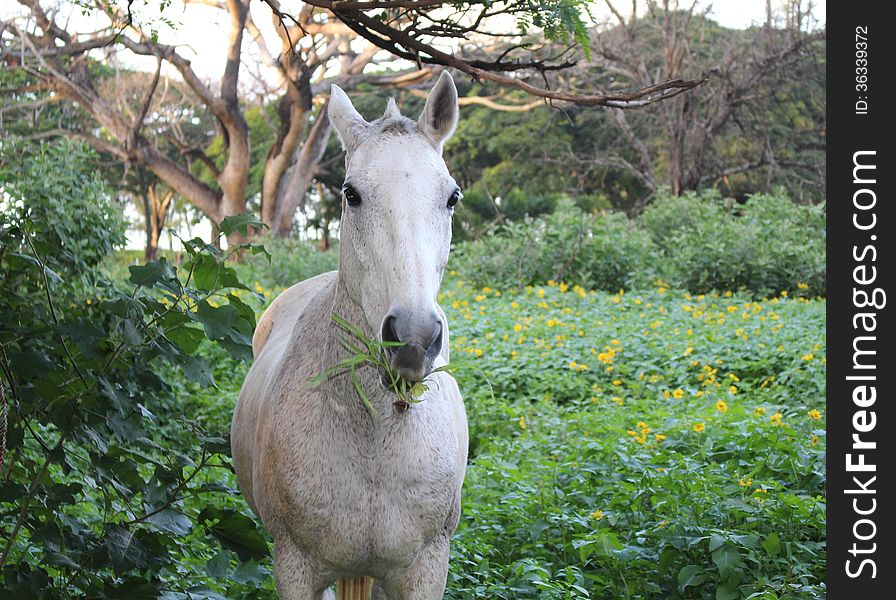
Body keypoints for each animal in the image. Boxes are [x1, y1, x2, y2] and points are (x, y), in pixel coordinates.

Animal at [231, 71, 468, 600]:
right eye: (351, 193)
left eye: (452, 196)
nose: (412, 337)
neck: (375, 432)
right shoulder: (296, 567)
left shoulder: (424, 570)